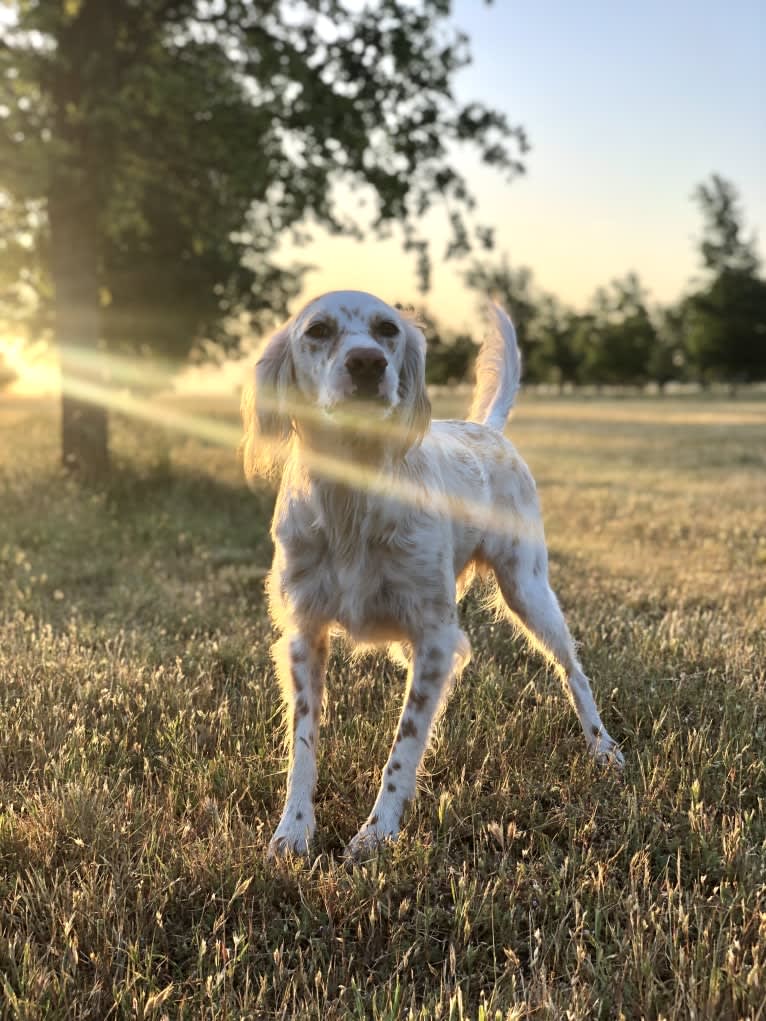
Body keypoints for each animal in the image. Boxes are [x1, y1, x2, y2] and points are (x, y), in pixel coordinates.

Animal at [240, 292, 625, 857]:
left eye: (387, 329)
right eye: (318, 330)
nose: (367, 363)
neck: (353, 499)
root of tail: (489, 429)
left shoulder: (433, 632)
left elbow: (404, 743)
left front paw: (377, 833)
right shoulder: (304, 635)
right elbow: (304, 743)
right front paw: (293, 830)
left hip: (527, 589)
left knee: (572, 671)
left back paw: (603, 748)